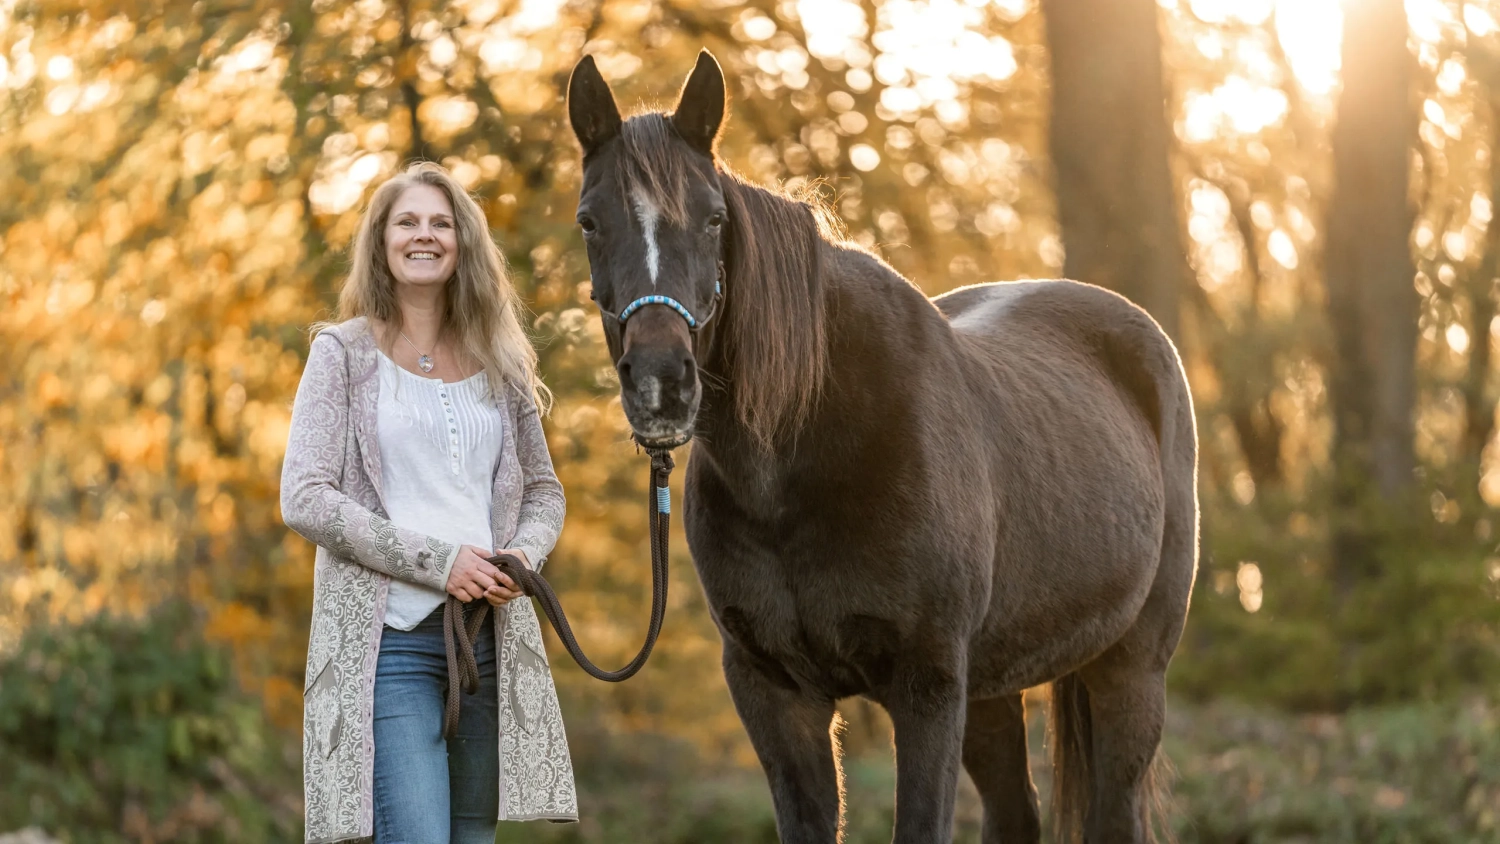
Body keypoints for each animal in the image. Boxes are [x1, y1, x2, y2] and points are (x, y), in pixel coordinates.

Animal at [567, 52, 1200, 844]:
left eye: (714, 218)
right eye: (590, 221)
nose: (661, 384)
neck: (798, 463)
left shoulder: (925, 687)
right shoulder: (776, 694)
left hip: (1130, 667)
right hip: (991, 687)